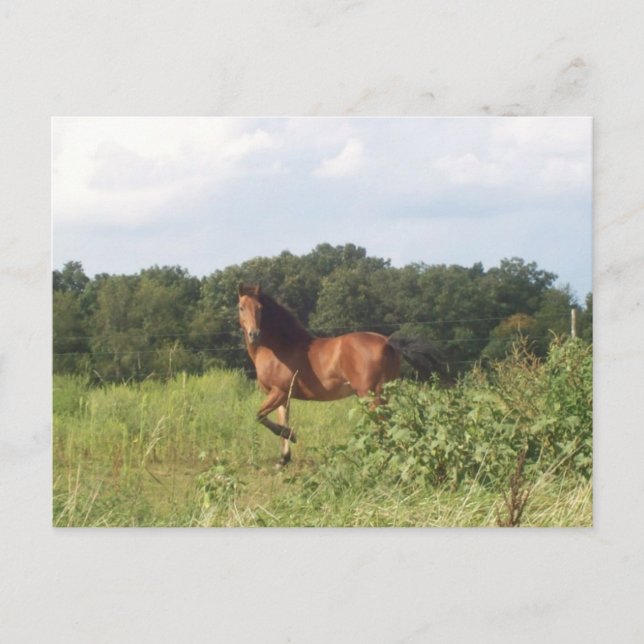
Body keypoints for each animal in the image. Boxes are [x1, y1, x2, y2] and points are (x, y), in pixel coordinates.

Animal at [237, 284, 443, 465]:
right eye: (241, 308)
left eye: (260, 308)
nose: (254, 334)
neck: (280, 347)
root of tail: (387, 341)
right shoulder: (282, 396)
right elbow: (282, 421)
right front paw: (283, 459)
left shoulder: (278, 392)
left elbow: (260, 417)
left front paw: (292, 437)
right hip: (383, 394)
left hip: (370, 395)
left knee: (382, 425)